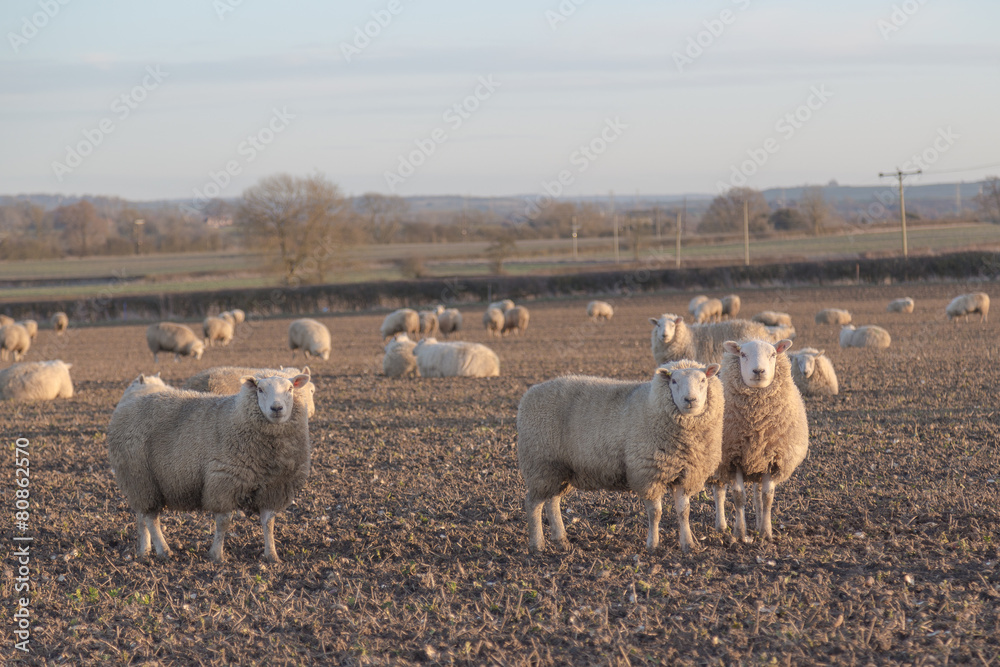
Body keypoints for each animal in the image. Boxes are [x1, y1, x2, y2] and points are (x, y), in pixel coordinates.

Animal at [107, 370, 311, 562]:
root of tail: (125, 406)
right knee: (151, 518)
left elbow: (268, 523)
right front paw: (216, 555)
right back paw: (164, 550)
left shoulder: (273, 488)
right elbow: (223, 522)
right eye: (260, 389)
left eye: (290, 389)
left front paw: (272, 555)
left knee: (142, 516)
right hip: (141, 476)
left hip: (140, 482)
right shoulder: (224, 480)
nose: (276, 408)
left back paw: (144, 551)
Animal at [517, 360, 724, 554]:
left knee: (552, 501)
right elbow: (655, 513)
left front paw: (688, 544)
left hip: (559, 468)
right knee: (533, 504)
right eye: (673, 381)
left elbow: (684, 512)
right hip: (540, 463)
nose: (690, 399)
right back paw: (537, 545)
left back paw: (561, 540)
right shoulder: (647, 473)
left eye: (703, 380)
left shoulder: (685, 474)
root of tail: (529, 394)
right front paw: (653, 545)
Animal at [713, 339, 808, 543]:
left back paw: (757, 524)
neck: (756, 425)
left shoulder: (772, 459)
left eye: (773, 354)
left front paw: (766, 532)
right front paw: (740, 533)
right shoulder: (733, 459)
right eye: (742, 354)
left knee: (757, 495)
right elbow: (738, 497)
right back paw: (721, 526)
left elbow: (767, 497)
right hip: (719, 465)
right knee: (719, 492)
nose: (758, 371)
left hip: (758, 464)